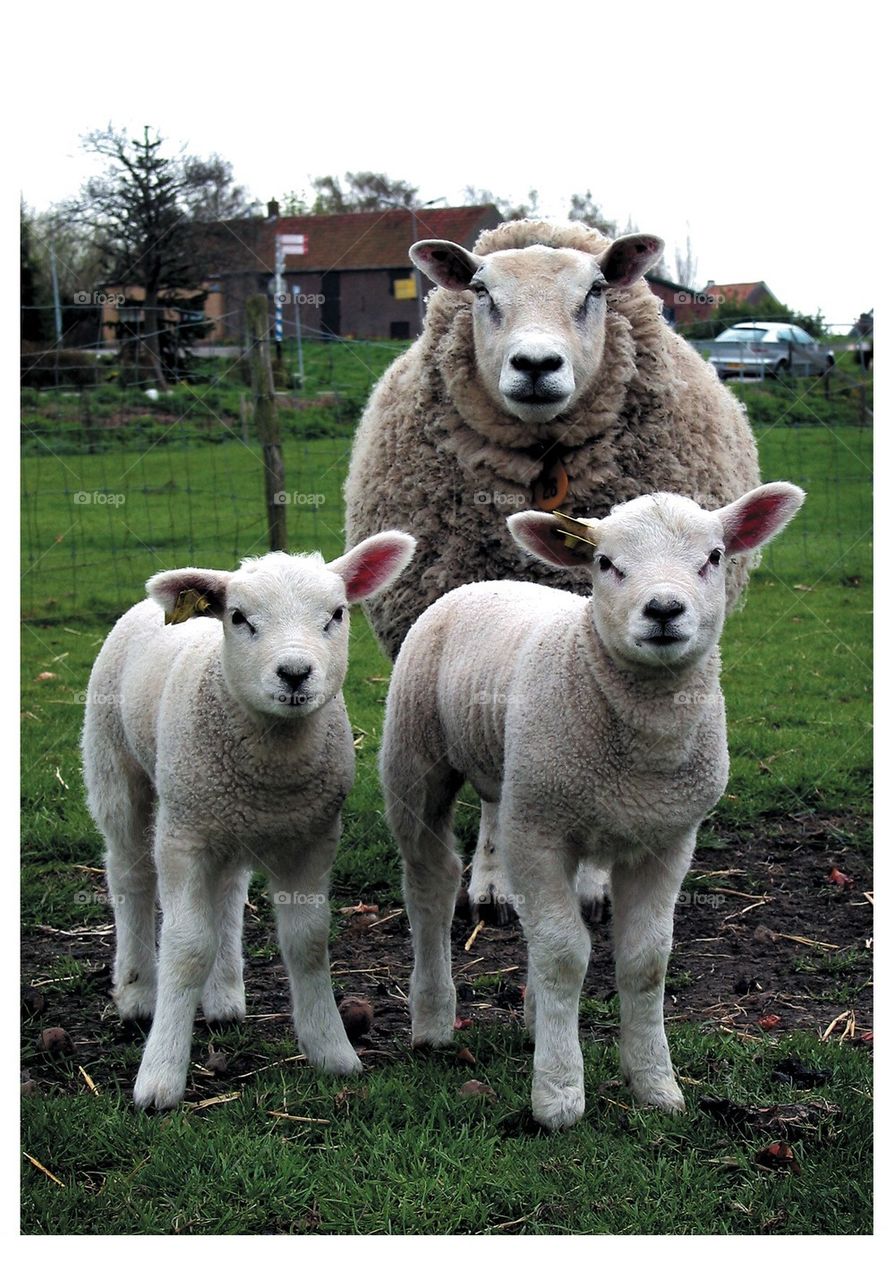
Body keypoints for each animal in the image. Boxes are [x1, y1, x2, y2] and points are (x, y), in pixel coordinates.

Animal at [81, 532, 415, 1110]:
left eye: (337, 614)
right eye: (239, 617)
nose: (295, 674)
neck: (271, 765)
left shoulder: (313, 837)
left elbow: (308, 940)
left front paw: (332, 1050)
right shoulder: (183, 836)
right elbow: (187, 946)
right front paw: (160, 1076)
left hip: (225, 820)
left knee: (229, 893)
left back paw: (223, 997)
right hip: (115, 764)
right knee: (129, 876)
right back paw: (138, 993)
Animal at [345, 218, 761, 920]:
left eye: (594, 290)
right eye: (482, 291)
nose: (536, 366)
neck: (545, 466)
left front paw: (595, 881)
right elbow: (497, 785)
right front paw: (491, 882)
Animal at [379, 482, 804, 1130]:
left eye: (713, 556)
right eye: (606, 563)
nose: (663, 610)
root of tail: (485, 583)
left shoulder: (667, 839)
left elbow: (644, 960)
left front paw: (655, 1083)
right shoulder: (537, 831)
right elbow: (563, 955)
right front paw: (558, 1094)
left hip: (539, 791)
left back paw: (533, 1020)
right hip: (417, 757)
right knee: (430, 882)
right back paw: (432, 1019)